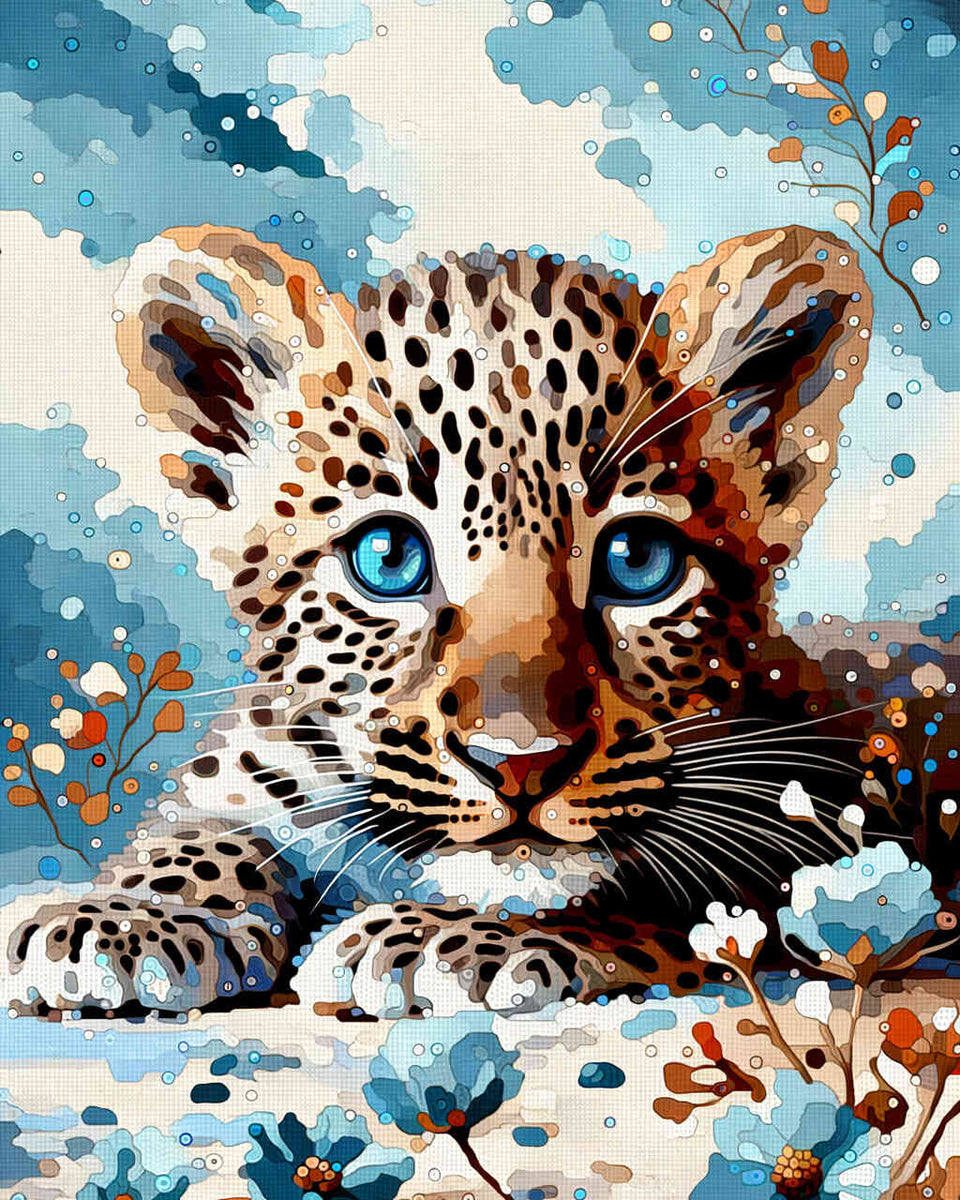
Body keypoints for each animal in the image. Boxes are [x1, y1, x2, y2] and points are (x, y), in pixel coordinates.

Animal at [8, 222, 960, 1020]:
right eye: (389, 556)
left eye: (637, 560)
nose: (521, 765)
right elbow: (210, 821)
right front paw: (118, 916)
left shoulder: (806, 824)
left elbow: (638, 890)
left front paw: (429, 938)